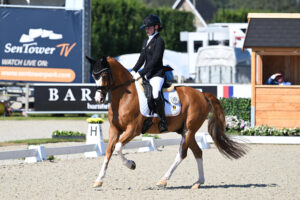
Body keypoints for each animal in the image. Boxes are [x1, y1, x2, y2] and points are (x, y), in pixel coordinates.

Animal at [86, 55, 246, 189]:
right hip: (186, 131)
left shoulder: (133, 129)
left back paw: (163, 180)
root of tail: (202, 94)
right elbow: (109, 150)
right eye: (94, 76)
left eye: (104, 75)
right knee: (198, 152)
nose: (98, 99)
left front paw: (131, 164)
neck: (124, 97)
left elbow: (118, 147)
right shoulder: (115, 129)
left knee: (182, 154)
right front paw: (99, 180)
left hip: (189, 130)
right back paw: (198, 182)